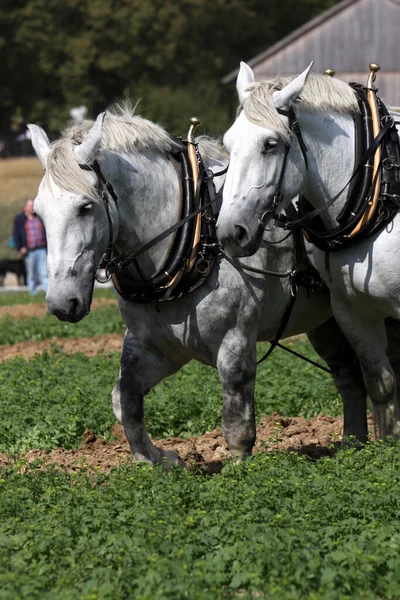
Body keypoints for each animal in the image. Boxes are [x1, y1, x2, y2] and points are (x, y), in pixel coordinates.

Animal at [217, 61, 400, 438]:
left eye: (270, 144)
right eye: (228, 143)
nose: (229, 232)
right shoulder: (351, 312)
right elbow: (381, 384)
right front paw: (388, 442)